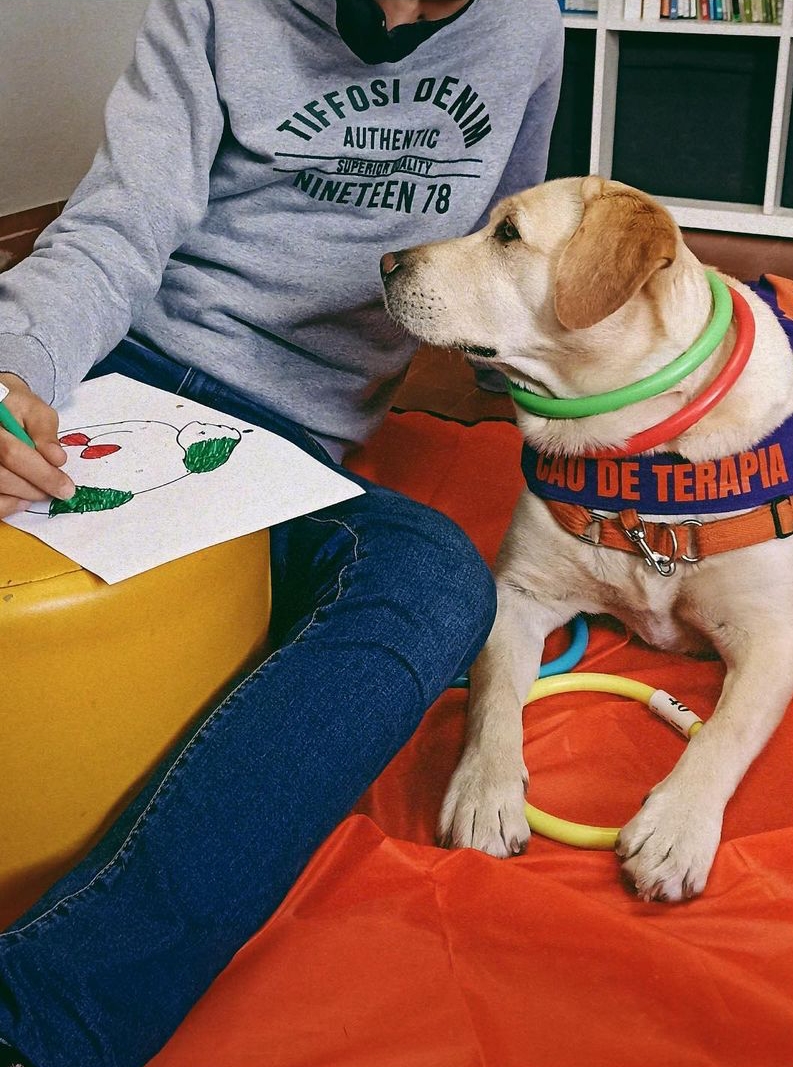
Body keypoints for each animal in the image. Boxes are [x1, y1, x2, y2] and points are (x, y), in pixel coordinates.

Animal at [377, 174, 793, 900]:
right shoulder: (517, 595)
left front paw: (676, 825)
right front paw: (485, 792)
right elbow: (493, 700)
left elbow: (725, 730)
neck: (640, 463)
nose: (385, 263)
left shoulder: (773, 637)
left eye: (507, 233)